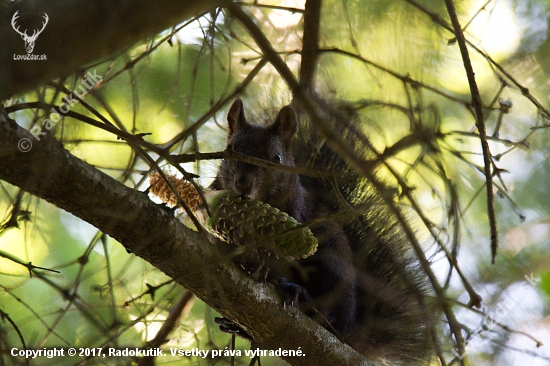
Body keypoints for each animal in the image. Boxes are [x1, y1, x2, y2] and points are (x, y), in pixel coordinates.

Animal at [210, 98, 436, 364]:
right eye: (230, 150)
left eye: (276, 158)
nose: (243, 184)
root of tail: (352, 330)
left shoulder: (296, 218)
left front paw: (262, 266)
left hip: (332, 263)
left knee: (330, 314)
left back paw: (300, 296)